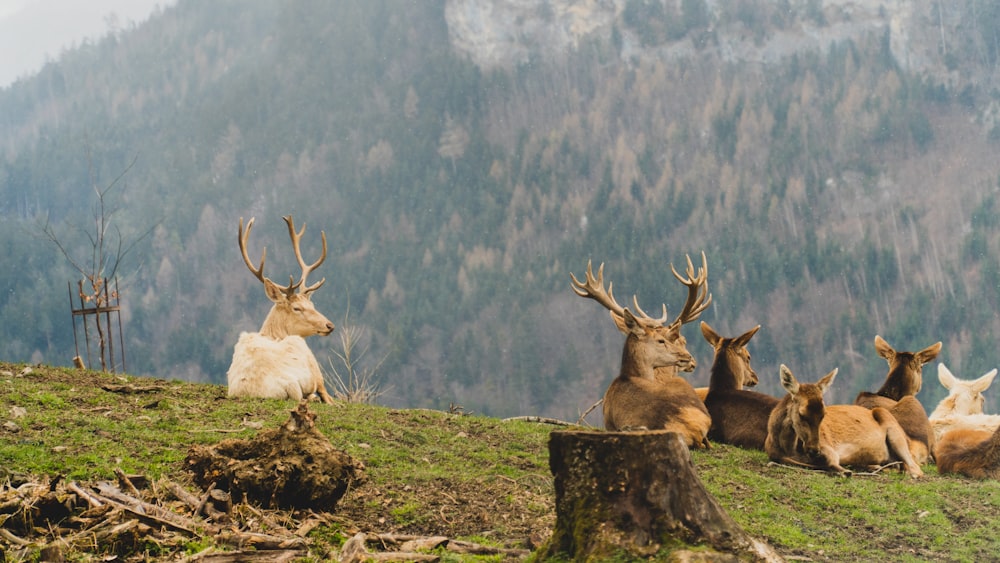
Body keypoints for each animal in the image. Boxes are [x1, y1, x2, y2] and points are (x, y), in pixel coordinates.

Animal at [226, 214, 336, 404]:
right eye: (297, 308)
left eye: (312, 305)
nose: (329, 325)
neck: (272, 334)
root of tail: (288, 385)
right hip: (308, 364)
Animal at [768, 366, 924, 480]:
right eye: (801, 414)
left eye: (823, 414)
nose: (814, 449)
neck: (788, 448)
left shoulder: (829, 448)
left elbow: (832, 464)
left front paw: (847, 470)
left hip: (893, 428)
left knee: (916, 468)